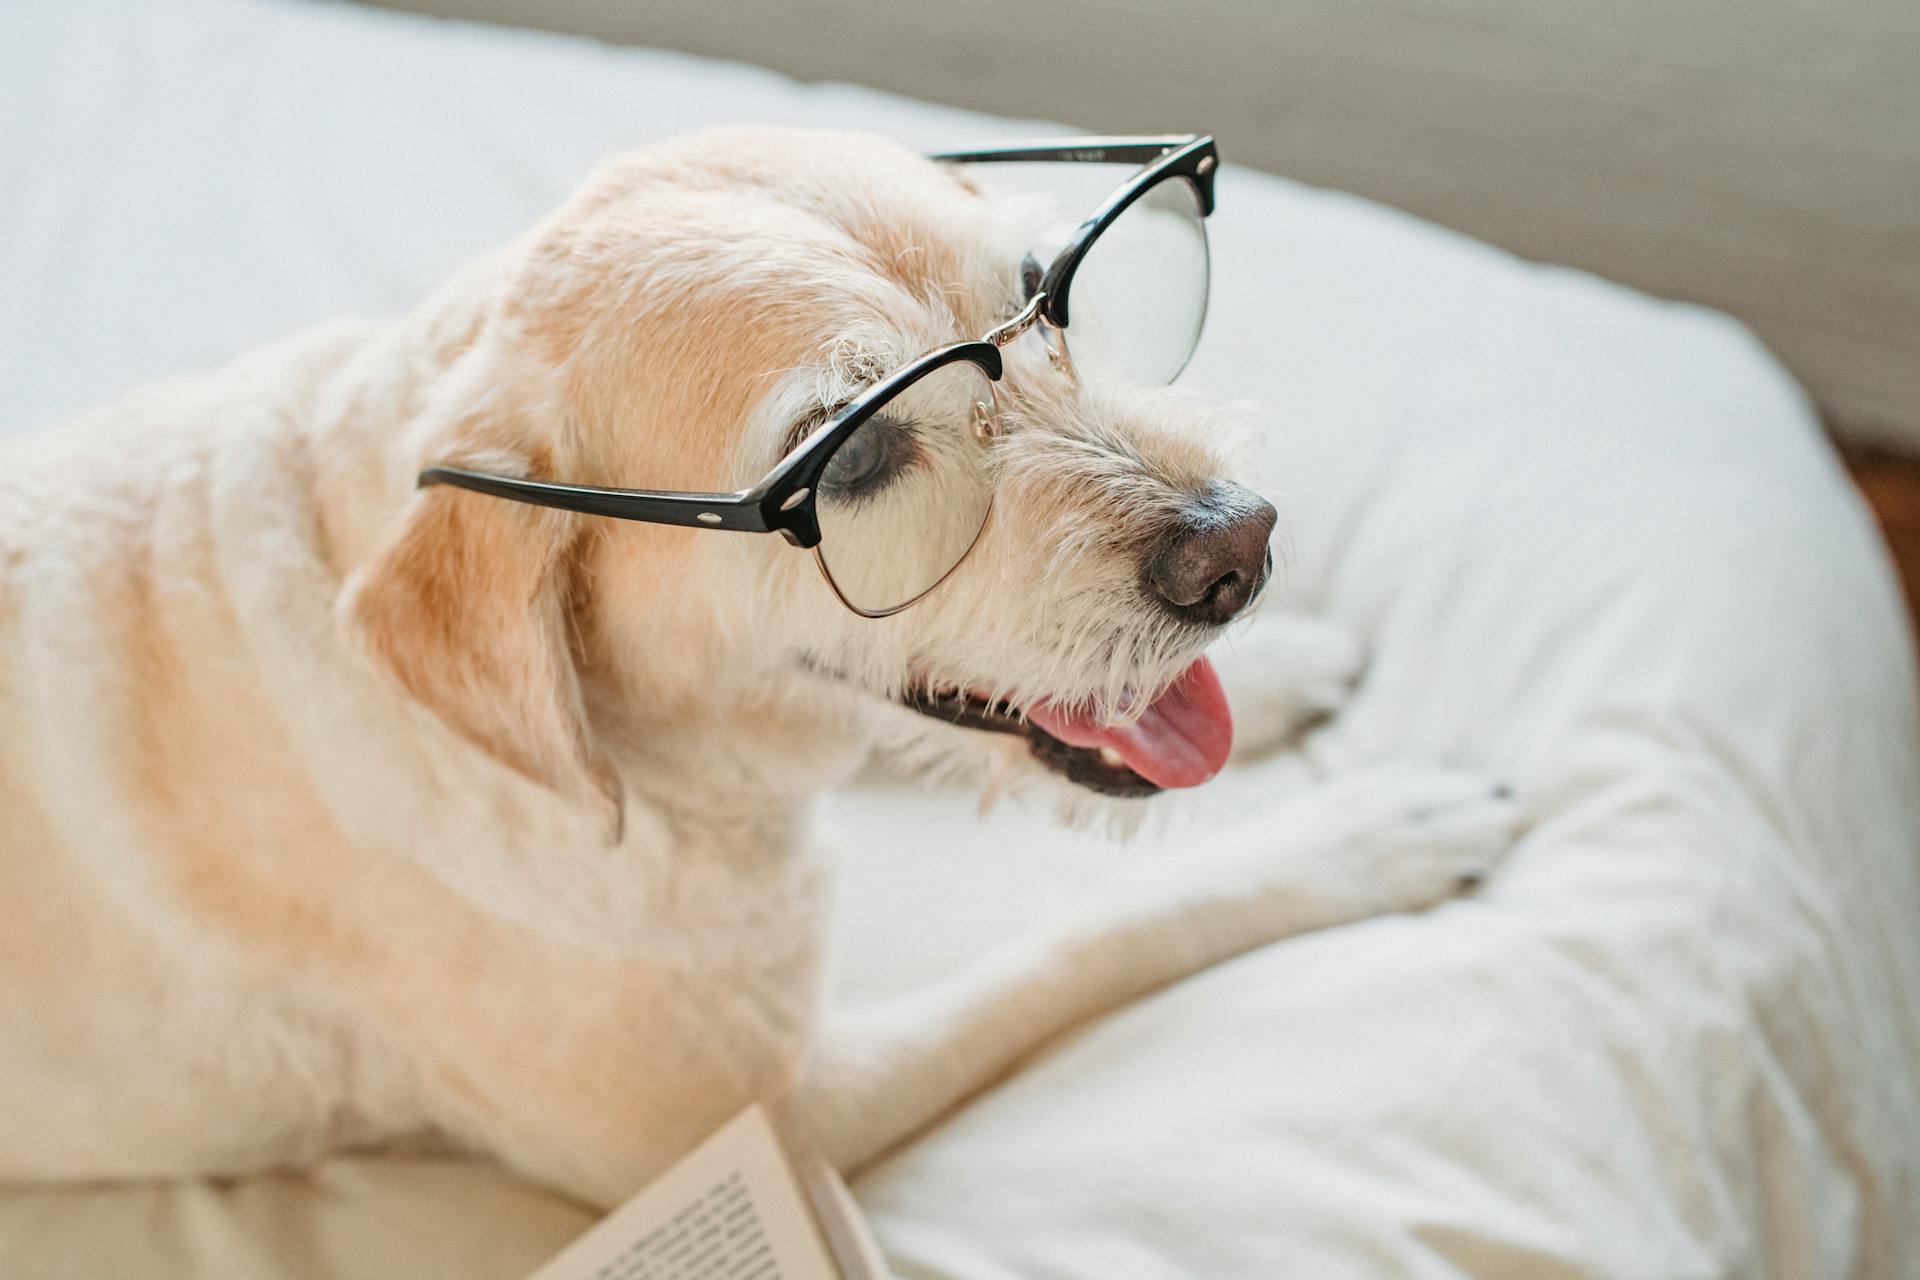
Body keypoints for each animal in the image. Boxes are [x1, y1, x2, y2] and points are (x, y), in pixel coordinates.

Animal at [0, 124, 1512, 1205]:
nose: (1242, 550)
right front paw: (1361, 835)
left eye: (1046, 296)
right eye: (859, 453)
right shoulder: (786, 1111)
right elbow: (1099, 931)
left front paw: (1293, 670)